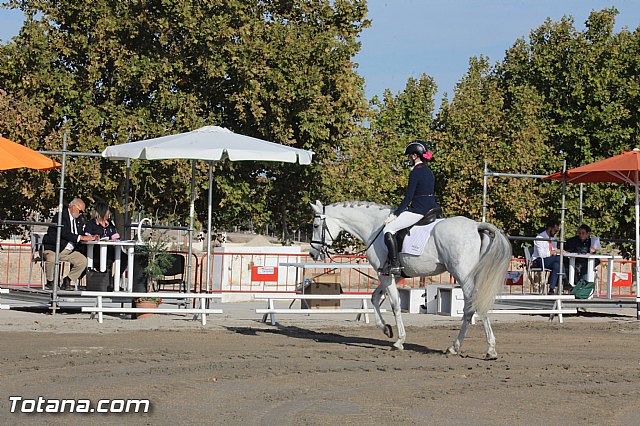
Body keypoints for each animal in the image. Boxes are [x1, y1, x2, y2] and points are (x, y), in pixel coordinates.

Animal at [308, 201, 512, 360]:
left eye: (316, 226)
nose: (312, 254)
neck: (375, 226)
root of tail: (477, 226)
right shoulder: (393, 275)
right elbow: (375, 298)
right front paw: (386, 329)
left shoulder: (385, 275)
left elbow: (395, 305)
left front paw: (398, 341)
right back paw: (459, 348)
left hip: (463, 274)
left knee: (473, 305)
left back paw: (483, 349)